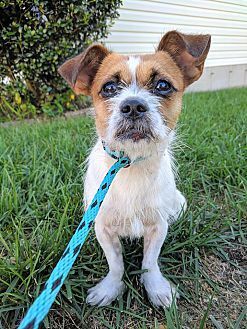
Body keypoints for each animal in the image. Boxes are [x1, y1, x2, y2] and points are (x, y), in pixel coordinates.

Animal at [58, 30, 210, 308]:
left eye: (163, 85)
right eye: (109, 88)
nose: (133, 106)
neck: (131, 164)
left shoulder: (158, 226)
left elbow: (150, 261)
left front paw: (156, 288)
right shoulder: (102, 227)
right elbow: (116, 263)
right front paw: (110, 288)